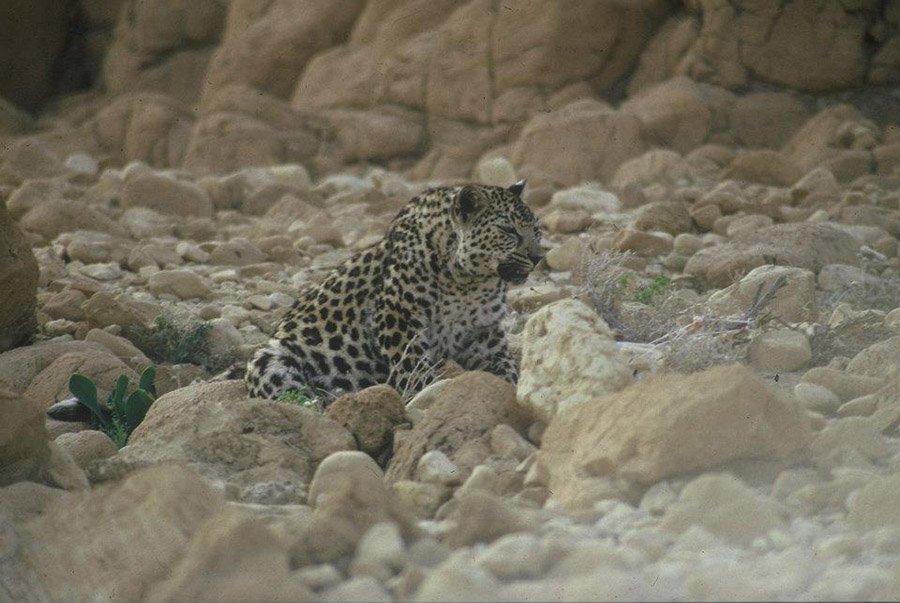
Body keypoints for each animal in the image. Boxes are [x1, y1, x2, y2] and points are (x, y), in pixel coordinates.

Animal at [245, 180, 544, 402]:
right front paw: (424, 394)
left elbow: (505, 368)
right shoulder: (397, 314)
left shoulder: (482, 333)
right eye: (508, 230)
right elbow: (412, 365)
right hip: (270, 358)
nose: (539, 257)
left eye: (537, 230)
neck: (468, 281)